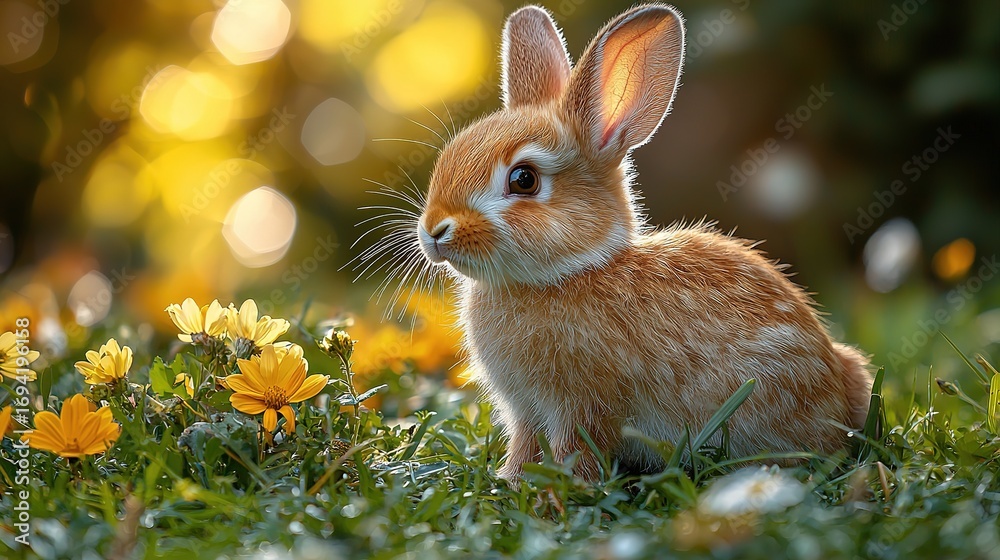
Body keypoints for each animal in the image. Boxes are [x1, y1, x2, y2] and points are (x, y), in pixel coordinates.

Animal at [412, 3, 873, 481]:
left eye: (524, 180)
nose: (434, 230)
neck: (571, 270)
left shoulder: (583, 406)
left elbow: (576, 450)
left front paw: (556, 490)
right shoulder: (526, 412)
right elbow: (524, 445)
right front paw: (511, 480)